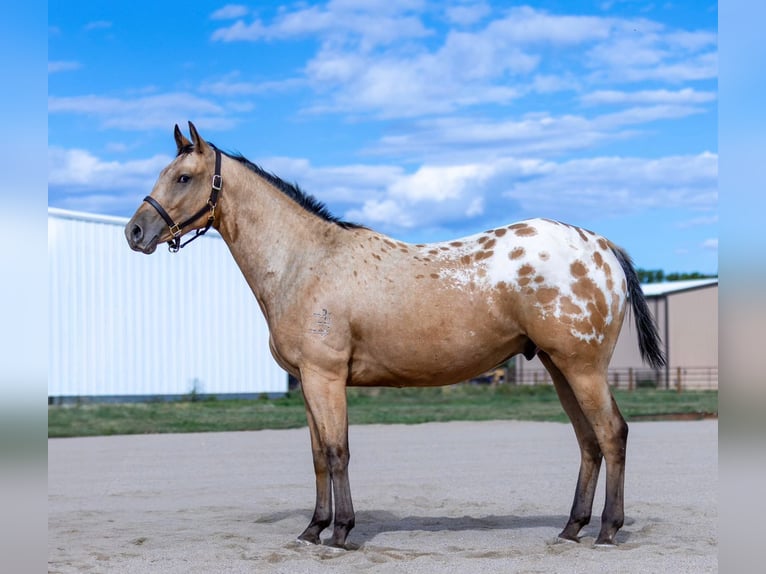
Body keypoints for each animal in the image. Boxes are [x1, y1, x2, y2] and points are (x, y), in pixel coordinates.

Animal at [126, 122, 665, 549]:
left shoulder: (325, 378)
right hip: (559, 367)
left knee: (611, 434)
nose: (135, 232)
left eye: (183, 177)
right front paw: (313, 528)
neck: (306, 260)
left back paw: (607, 530)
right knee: (588, 441)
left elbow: (338, 452)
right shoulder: (309, 383)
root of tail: (602, 246)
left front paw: (341, 532)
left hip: (582, 368)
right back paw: (572, 528)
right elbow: (318, 455)